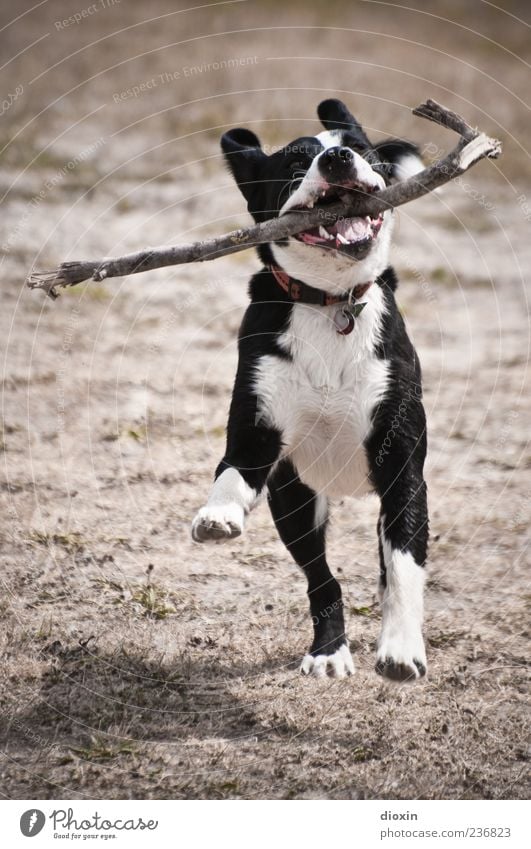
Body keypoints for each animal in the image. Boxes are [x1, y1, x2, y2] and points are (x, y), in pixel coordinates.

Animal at [191, 99, 428, 684]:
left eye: (358, 149)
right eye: (297, 162)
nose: (336, 158)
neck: (331, 304)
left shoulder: (402, 465)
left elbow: (404, 565)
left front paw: (401, 650)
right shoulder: (259, 429)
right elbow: (233, 469)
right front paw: (218, 514)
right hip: (297, 499)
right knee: (322, 577)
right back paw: (329, 651)